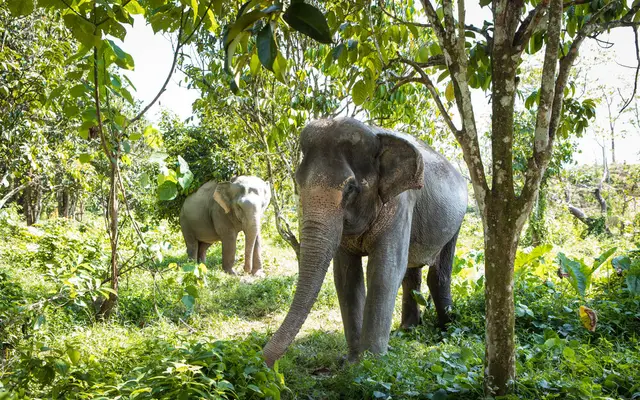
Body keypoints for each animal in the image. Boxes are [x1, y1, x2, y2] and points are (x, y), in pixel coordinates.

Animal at [262, 117, 468, 366]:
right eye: (298, 182)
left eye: (351, 188)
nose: (264, 361)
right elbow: (346, 276)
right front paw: (351, 361)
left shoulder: (400, 203)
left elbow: (385, 269)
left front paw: (370, 363)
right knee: (411, 273)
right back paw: (406, 331)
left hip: (457, 220)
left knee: (438, 274)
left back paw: (447, 330)